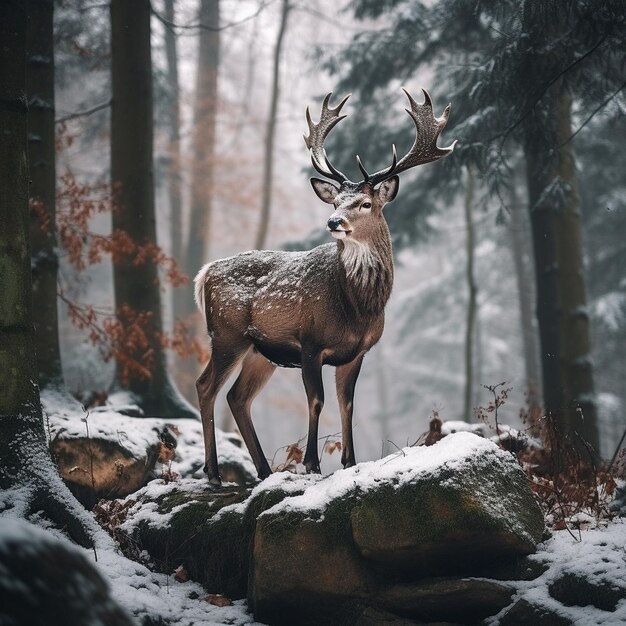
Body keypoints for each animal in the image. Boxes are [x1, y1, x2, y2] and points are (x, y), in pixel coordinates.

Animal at [193, 89, 450, 488]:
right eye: (335, 201)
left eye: (366, 203)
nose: (333, 221)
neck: (357, 308)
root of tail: (205, 273)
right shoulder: (310, 341)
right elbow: (317, 401)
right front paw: (312, 464)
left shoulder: (358, 352)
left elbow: (347, 403)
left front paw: (349, 462)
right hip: (226, 334)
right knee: (206, 387)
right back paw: (215, 473)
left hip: (259, 350)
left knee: (237, 397)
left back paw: (263, 470)